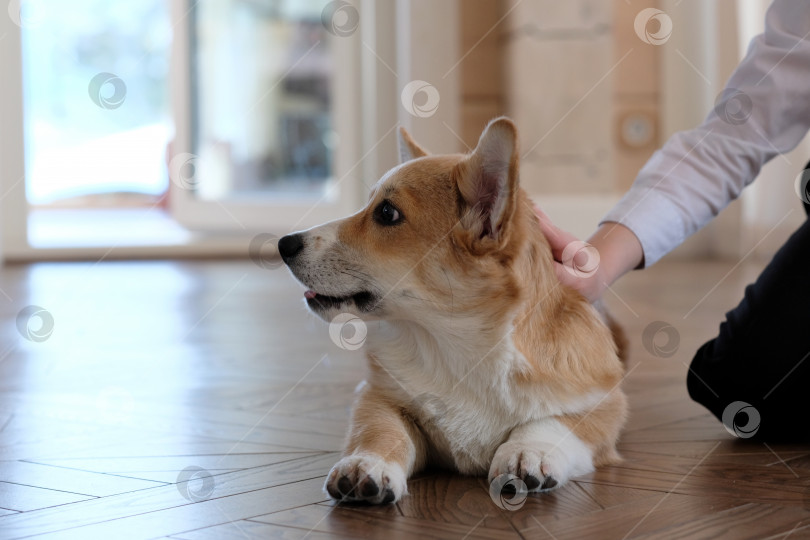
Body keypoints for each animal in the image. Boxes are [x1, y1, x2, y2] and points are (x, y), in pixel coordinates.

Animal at [278, 116, 624, 504]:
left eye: (386, 213)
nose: (283, 244)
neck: (453, 344)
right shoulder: (379, 396)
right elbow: (379, 431)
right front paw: (367, 464)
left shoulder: (604, 405)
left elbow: (551, 421)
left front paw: (528, 452)